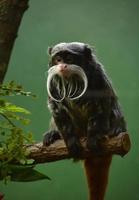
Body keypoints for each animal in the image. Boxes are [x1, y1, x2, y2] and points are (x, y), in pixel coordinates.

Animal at [43, 42, 127, 200]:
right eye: (58, 59)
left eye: (69, 59)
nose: (62, 66)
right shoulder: (52, 82)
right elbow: (57, 110)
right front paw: (70, 141)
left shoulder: (98, 77)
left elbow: (101, 108)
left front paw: (93, 139)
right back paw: (53, 134)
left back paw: (115, 130)